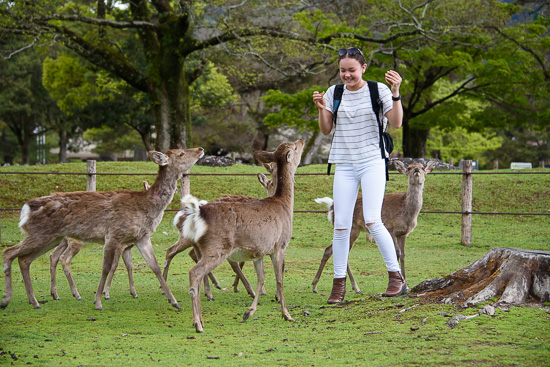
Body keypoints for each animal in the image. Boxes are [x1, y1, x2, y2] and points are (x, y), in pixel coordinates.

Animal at [0, 148, 205, 312]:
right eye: (181, 153)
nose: (200, 148)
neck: (147, 206)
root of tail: (26, 208)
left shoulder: (142, 237)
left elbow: (154, 267)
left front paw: (174, 301)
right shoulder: (113, 234)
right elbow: (106, 267)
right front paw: (98, 302)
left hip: (51, 238)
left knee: (24, 260)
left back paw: (34, 301)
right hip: (39, 234)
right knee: (9, 252)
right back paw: (8, 299)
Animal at [176, 139, 304, 334]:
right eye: (295, 148)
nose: (302, 140)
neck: (284, 205)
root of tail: (197, 214)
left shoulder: (259, 251)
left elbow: (261, 278)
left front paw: (249, 312)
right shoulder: (279, 245)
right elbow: (279, 279)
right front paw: (287, 315)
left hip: (200, 248)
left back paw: (200, 320)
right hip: (216, 248)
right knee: (194, 273)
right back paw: (198, 324)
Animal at [312, 161, 438, 296]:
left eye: (423, 167)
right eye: (409, 167)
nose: (416, 170)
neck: (407, 213)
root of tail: (331, 206)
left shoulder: (404, 234)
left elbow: (403, 255)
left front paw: (407, 286)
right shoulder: (390, 228)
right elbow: (396, 252)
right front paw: (401, 285)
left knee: (333, 251)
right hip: (352, 228)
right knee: (334, 251)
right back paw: (320, 286)